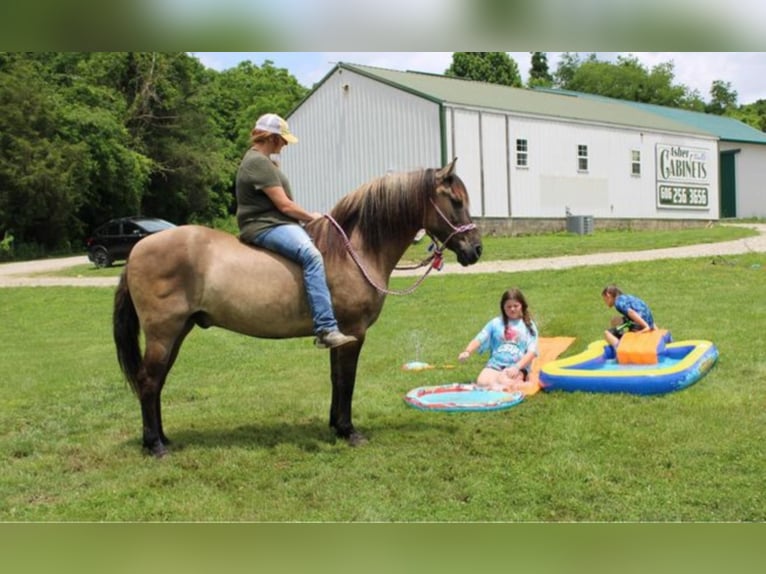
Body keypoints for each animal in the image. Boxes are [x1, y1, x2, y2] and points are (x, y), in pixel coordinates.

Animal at [112, 159, 486, 460]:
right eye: (455, 201)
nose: (476, 249)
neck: (353, 251)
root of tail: (139, 248)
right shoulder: (354, 333)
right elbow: (347, 380)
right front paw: (349, 431)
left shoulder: (340, 335)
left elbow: (336, 379)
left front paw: (336, 426)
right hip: (164, 333)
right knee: (149, 381)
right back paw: (154, 445)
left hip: (177, 332)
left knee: (157, 382)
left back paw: (163, 438)